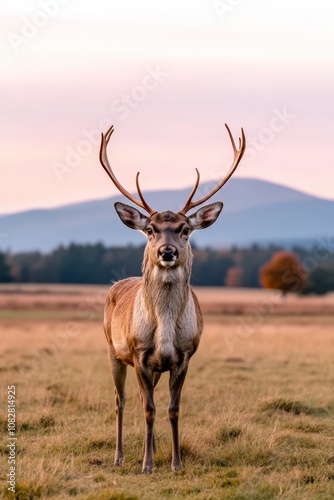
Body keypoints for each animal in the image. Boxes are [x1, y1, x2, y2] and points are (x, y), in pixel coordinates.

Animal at [99, 124, 245, 472]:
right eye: (150, 229)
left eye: (185, 229)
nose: (167, 252)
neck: (164, 330)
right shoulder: (139, 353)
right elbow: (149, 409)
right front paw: (147, 464)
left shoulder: (185, 355)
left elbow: (172, 409)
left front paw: (176, 463)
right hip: (112, 349)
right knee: (121, 401)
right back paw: (120, 456)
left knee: (142, 399)